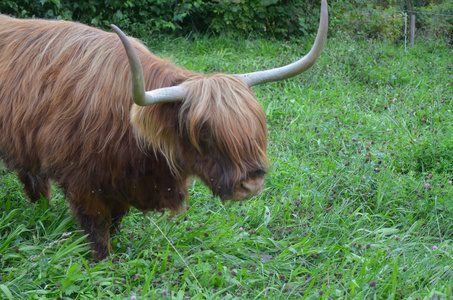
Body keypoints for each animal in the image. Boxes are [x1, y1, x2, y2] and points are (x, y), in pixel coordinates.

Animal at [0, 1, 324, 258]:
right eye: (204, 134)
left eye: (256, 128)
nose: (253, 183)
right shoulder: (83, 183)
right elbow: (98, 229)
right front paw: (104, 262)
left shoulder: (119, 181)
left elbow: (115, 220)